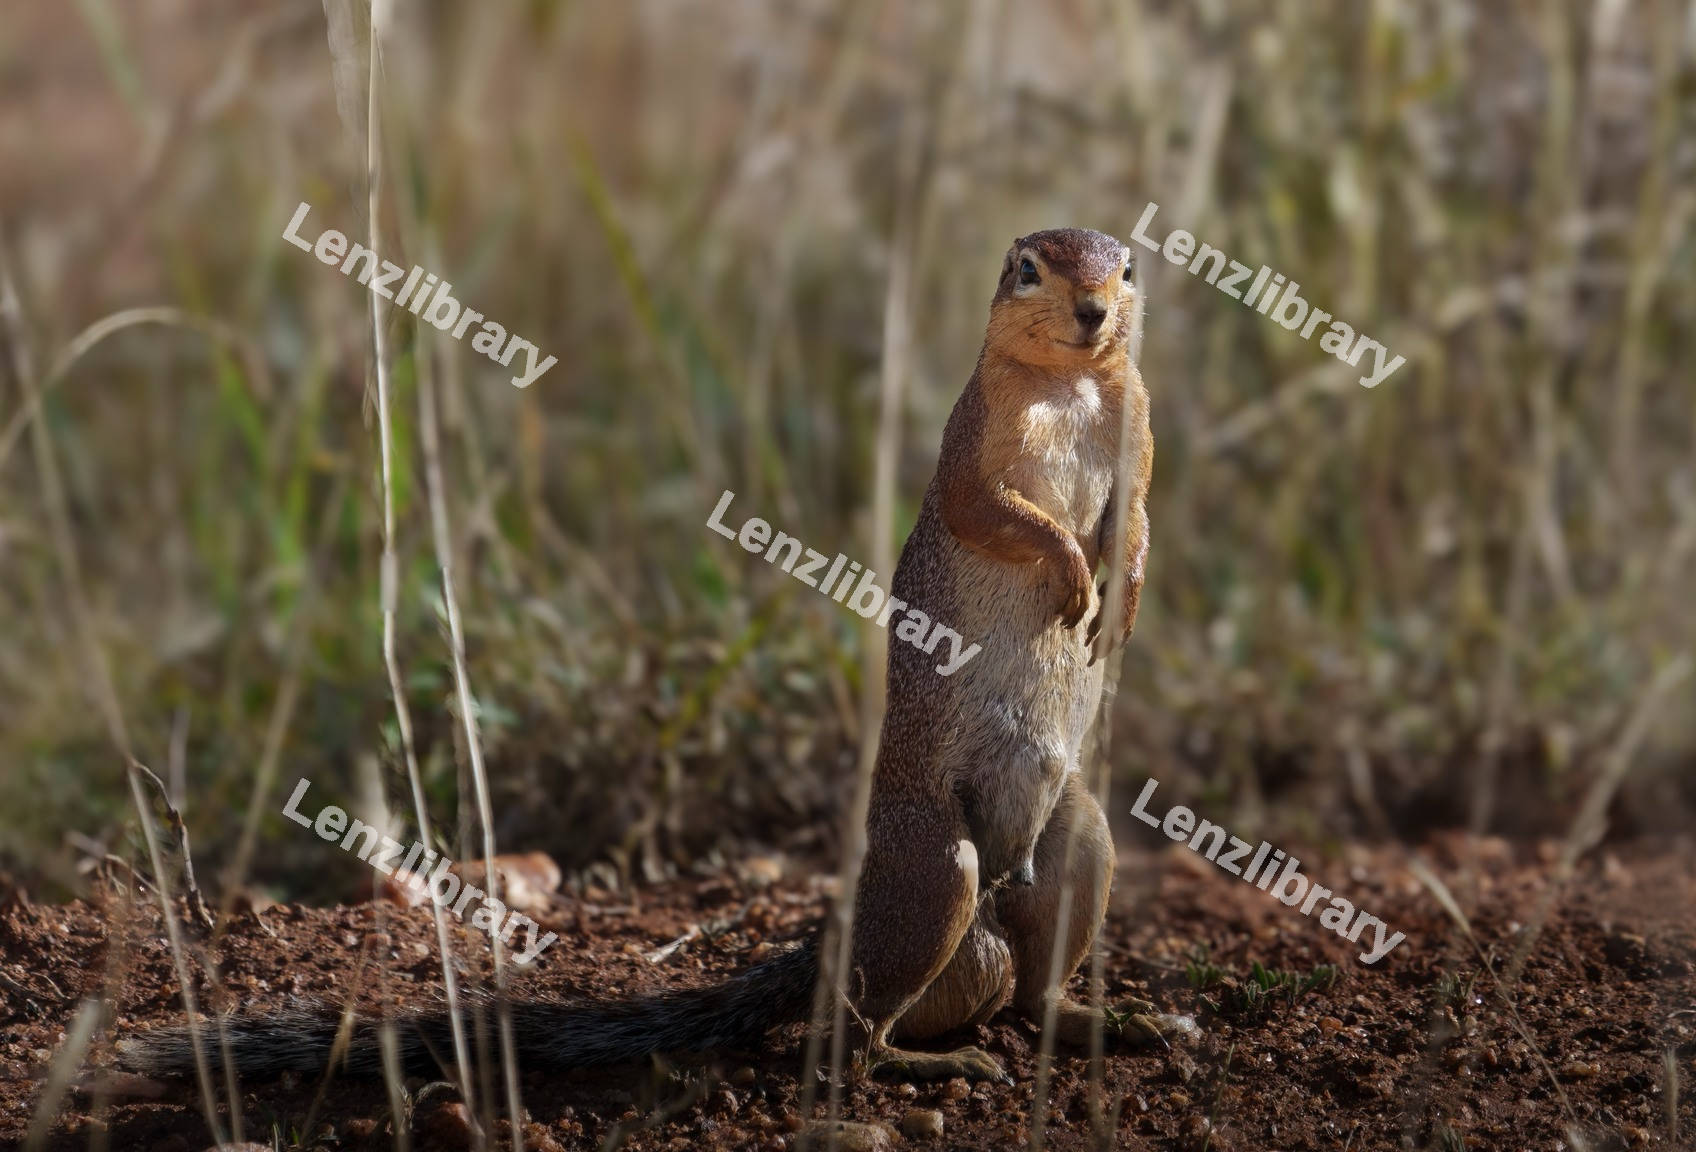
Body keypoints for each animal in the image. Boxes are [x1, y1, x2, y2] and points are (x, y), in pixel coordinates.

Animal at [117, 227, 1182, 1086]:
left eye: (1128, 267)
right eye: (1029, 267)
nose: (1094, 311)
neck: (1070, 384)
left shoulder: (1140, 431)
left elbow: (1133, 522)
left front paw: (1120, 602)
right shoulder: (975, 445)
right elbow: (996, 510)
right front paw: (1072, 574)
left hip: (1080, 839)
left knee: (1030, 988)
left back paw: (1109, 1019)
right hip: (934, 871)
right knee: (847, 1034)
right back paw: (923, 1068)